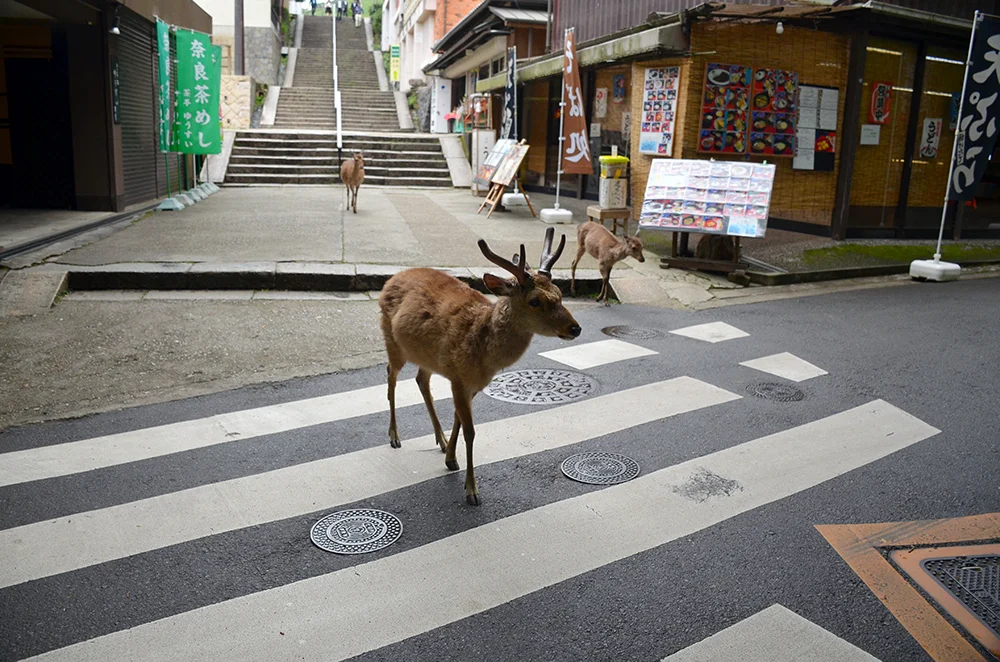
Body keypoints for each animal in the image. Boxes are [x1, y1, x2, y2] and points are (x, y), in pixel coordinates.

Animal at [378, 228, 582, 505]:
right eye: (535, 301)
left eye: (560, 295)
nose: (575, 328)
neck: (485, 354)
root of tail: (391, 279)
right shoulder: (458, 378)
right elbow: (471, 431)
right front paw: (472, 491)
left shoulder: (471, 382)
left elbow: (458, 419)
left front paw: (451, 459)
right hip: (392, 340)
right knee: (391, 375)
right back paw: (394, 436)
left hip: (426, 357)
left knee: (421, 380)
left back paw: (440, 440)